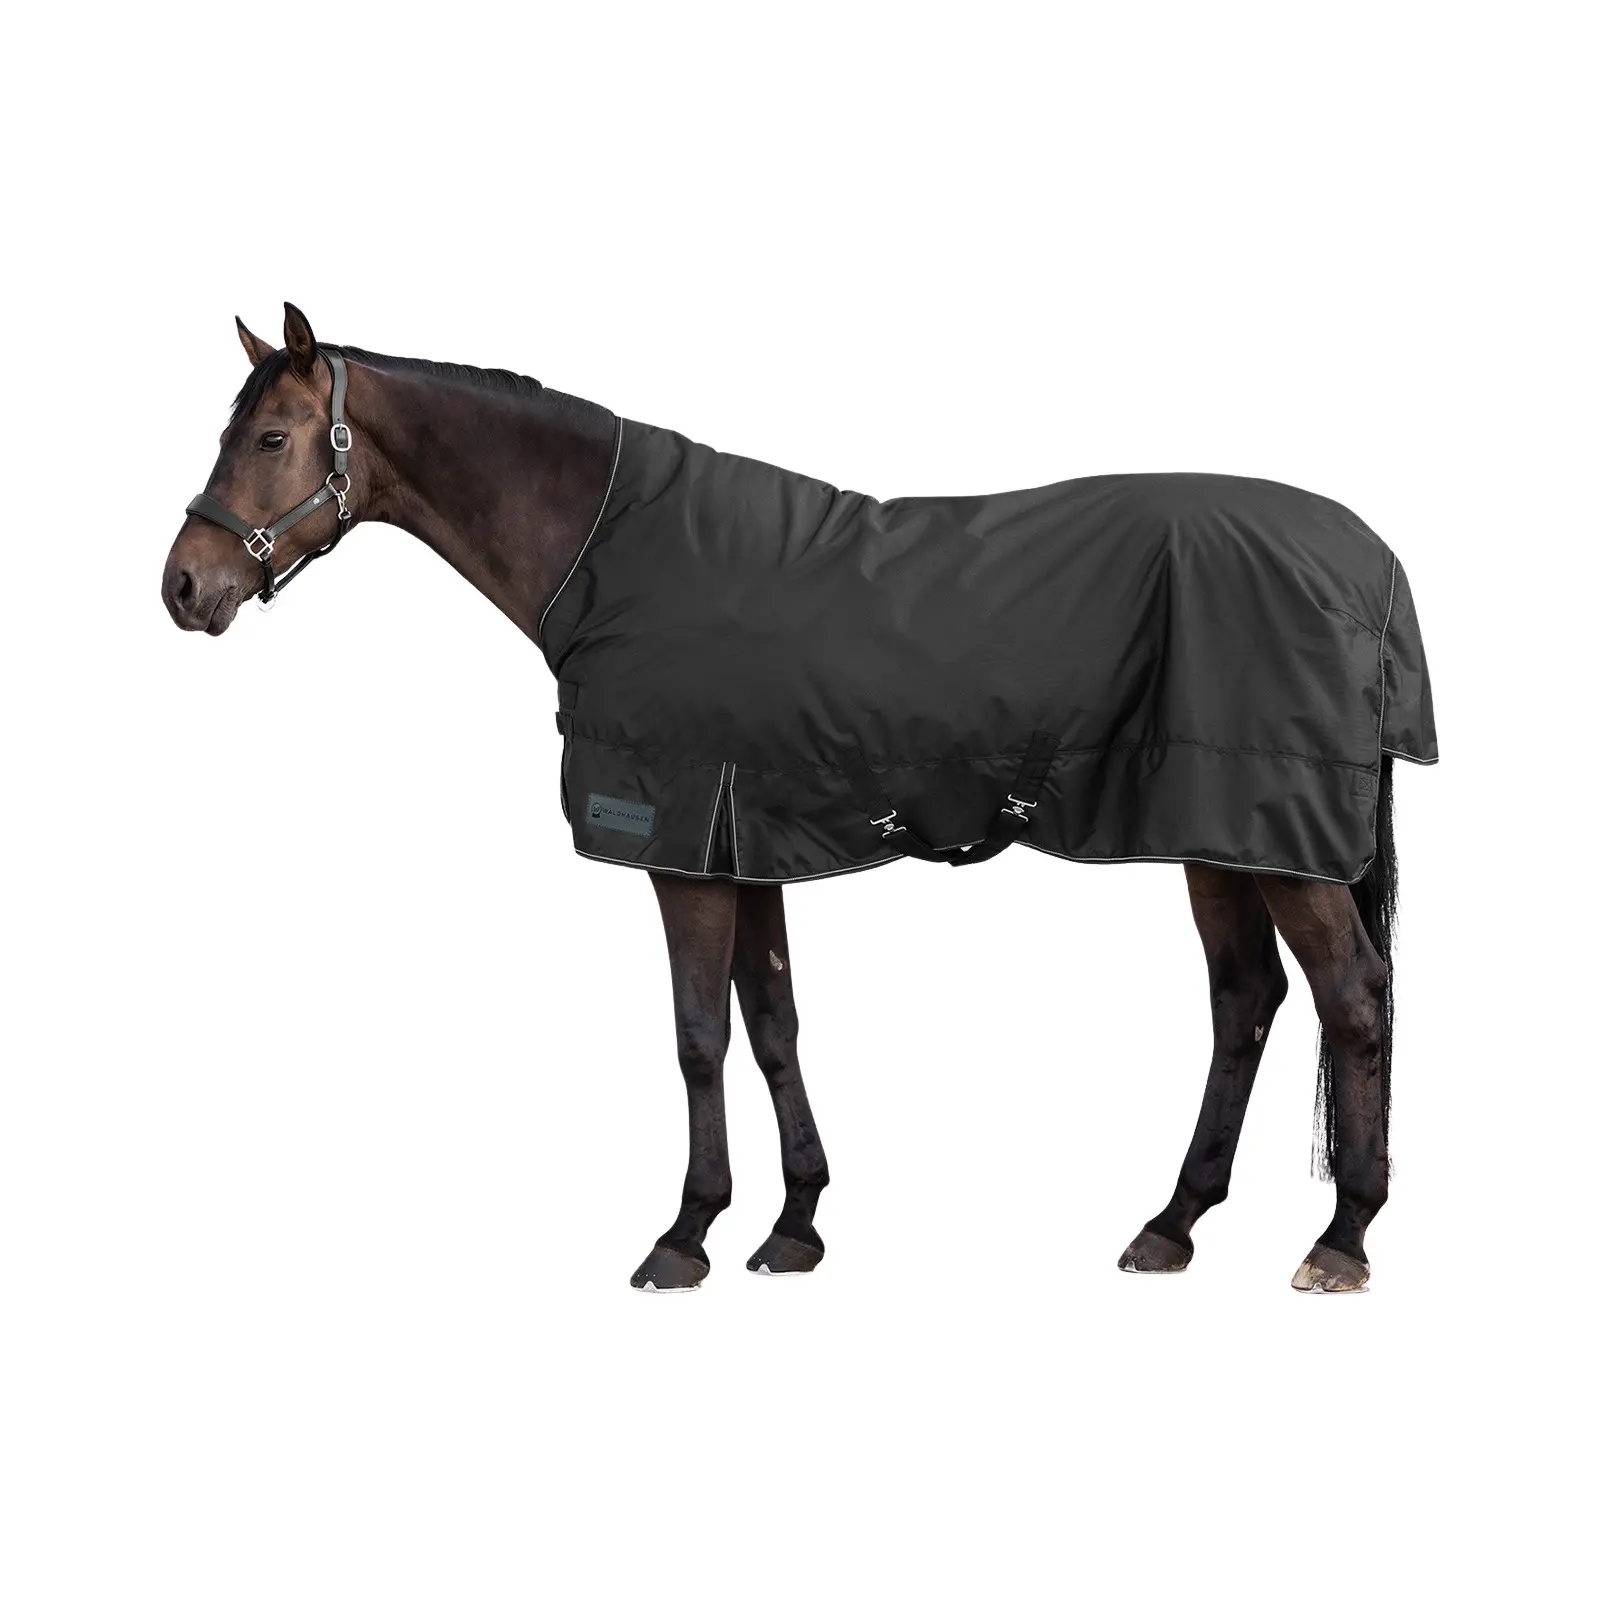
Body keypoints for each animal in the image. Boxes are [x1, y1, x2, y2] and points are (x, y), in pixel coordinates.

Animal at [162, 303, 1433, 1294]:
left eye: (269, 437)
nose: (184, 586)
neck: (610, 553)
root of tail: (1368, 562)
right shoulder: (747, 837)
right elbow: (771, 1024)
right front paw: (793, 1223)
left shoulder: (681, 843)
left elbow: (698, 1037)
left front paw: (684, 1234)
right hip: (1220, 831)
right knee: (1246, 1001)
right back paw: (1170, 1224)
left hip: (1277, 843)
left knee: (1352, 1000)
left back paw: (1342, 1237)